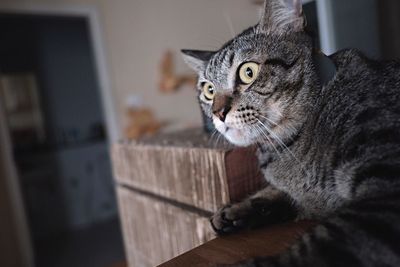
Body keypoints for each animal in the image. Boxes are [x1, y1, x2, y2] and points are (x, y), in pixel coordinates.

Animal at [182, 0, 400, 266]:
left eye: (248, 72)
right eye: (209, 90)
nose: (217, 113)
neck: (284, 146)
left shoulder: (384, 190)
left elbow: (308, 252)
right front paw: (237, 209)